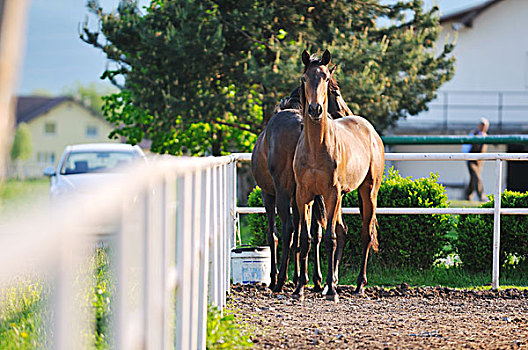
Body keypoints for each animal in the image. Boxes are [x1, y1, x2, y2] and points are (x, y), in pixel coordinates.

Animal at [251, 80, 350, 292]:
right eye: (337, 93)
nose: (348, 113)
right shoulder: (300, 197)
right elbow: (302, 233)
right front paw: (300, 277)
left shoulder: (268, 195)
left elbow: (274, 234)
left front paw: (278, 276)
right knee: (314, 232)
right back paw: (318, 280)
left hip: (281, 194)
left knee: (287, 229)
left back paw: (279, 280)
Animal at [292, 50, 384, 300]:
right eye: (304, 79)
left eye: (325, 78)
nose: (314, 109)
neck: (316, 148)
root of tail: (370, 129)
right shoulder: (304, 196)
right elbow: (306, 239)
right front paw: (300, 288)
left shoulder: (330, 194)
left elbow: (329, 239)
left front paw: (332, 292)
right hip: (341, 197)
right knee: (343, 231)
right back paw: (329, 283)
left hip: (368, 192)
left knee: (365, 234)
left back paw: (359, 285)